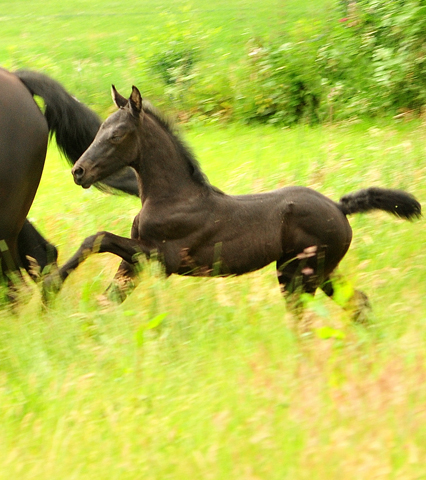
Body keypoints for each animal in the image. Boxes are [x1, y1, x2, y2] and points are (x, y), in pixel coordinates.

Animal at [44, 84, 422, 314]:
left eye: (117, 134)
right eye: (99, 129)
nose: (79, 171)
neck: (174, 197)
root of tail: (338, 207)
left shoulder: (162, 258)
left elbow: (97, 238)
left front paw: (50, 286)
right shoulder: (135, 262)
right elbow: (110, 295)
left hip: (300, 277)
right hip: (317, 271)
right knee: (358, 304)